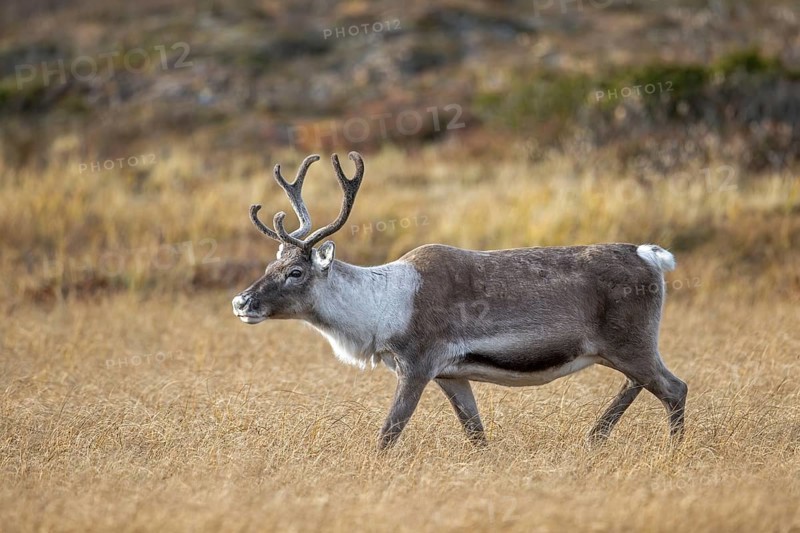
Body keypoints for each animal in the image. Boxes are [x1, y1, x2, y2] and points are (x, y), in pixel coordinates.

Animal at [232, 152, 688, 449]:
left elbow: (388, 434)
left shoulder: (417, 366)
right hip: (619, 350)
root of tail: (651, 256)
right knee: (640, 384)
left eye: (295, 272)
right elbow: (476, 434)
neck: (380, 308)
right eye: (272, 264)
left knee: (674, 388)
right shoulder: (451, 375)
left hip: (631, 344)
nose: (241, 302)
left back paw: (671, 450)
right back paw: (595, 437)